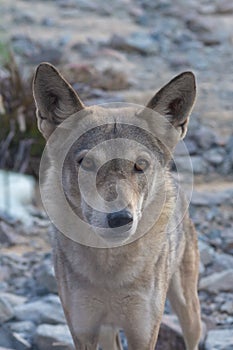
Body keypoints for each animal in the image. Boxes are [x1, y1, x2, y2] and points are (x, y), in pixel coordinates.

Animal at [32, 63, 202, 350]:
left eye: (140, 165)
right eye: (87, 163)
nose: (120, 218)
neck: (110, 272)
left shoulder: (143, 334)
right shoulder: (83, 331)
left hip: (188, 311)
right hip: (107, 330)